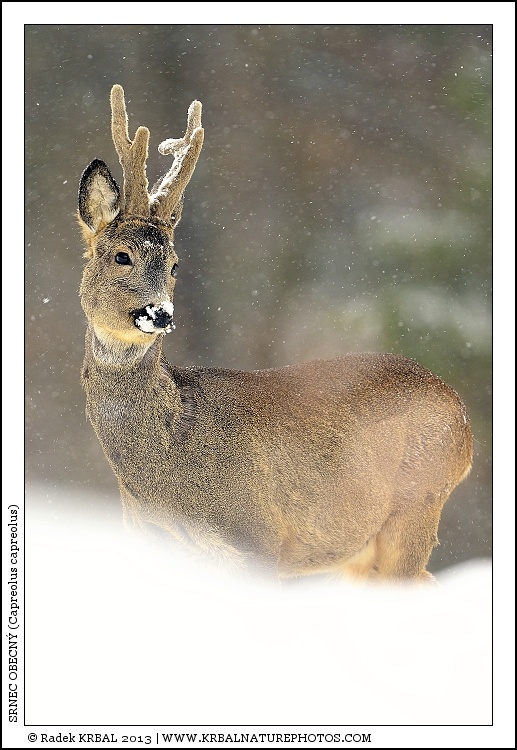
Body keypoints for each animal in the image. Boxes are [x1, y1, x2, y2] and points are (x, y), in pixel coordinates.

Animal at [77, 84, 473, 582]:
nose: (159, 313)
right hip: (361, 551)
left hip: (417, 505)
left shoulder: (260, 536)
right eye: (121, 256)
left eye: (174, 265)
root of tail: (464, 420)